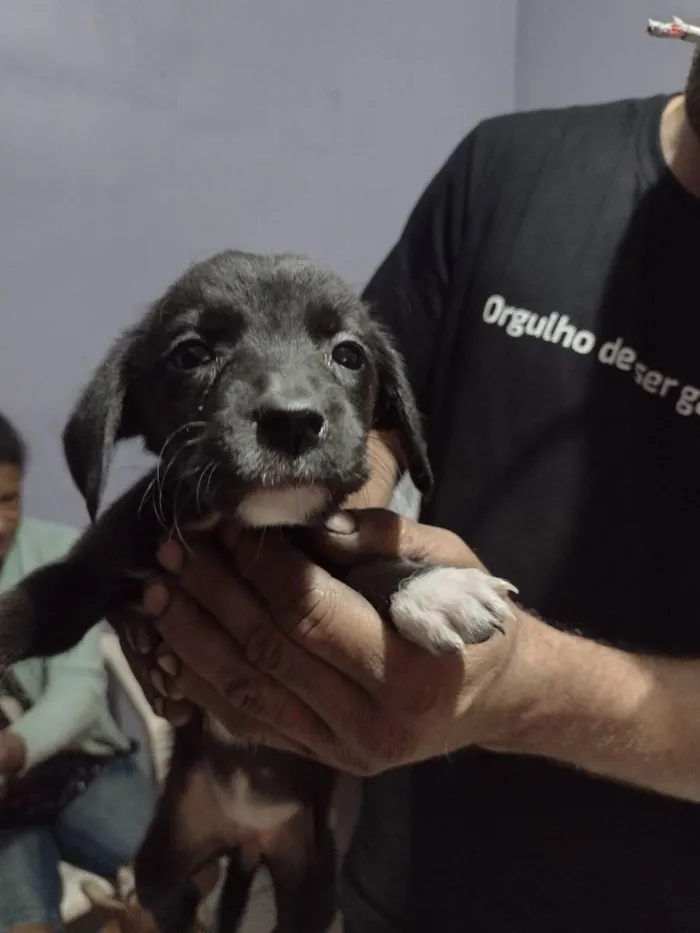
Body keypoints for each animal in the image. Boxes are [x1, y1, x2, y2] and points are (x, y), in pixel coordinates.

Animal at [0, 249, 516, 932]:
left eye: (349, 354)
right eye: (192, 353)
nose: (293, 422)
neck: (238, 526)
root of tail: (245, 838)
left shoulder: (326, 540)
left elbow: (358, 570)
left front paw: (433, 587)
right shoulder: (99, 570)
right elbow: (31, 604)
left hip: (309, 884)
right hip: (165, 856)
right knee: (175, 901)